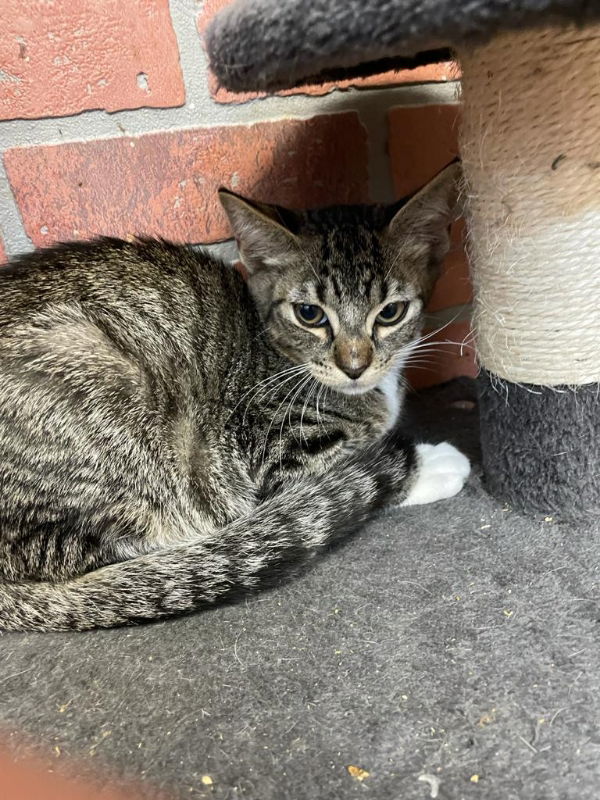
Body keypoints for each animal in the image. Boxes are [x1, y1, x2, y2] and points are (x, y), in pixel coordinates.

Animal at [0, 159, 468, 628]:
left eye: (390, 313)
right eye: (310, 314)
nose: (354, 366)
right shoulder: (276, 452)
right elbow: (343, 472)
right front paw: (429, 463)